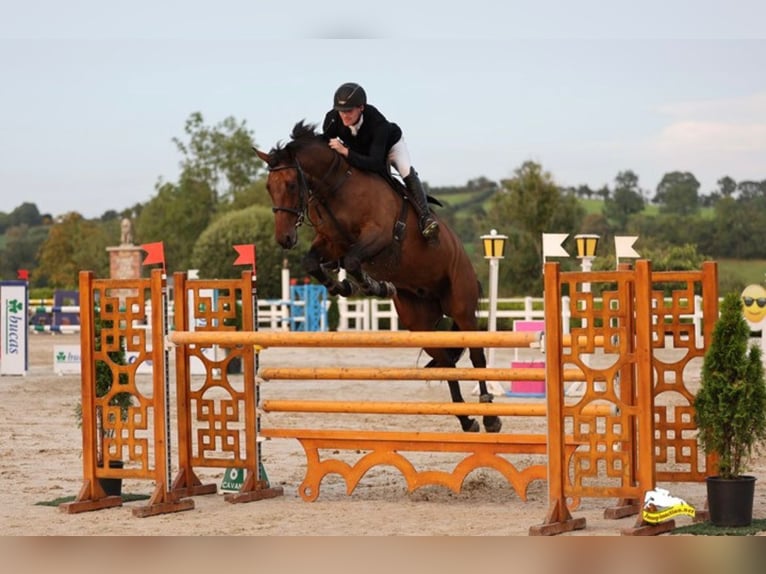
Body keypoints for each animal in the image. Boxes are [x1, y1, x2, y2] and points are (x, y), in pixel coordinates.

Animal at [254, 121, 500, 433]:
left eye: (290, 184)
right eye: (268, 187)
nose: (284, 239)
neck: (335, 186)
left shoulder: (378, 235)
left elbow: (352, 260)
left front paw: (372, 285)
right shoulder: (331, 242)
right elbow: (313, 263)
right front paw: (344, 285)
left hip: (461, 305)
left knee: (477, 354)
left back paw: (489, 414)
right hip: (419, 323)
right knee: (446, 362)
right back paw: (466, 420)